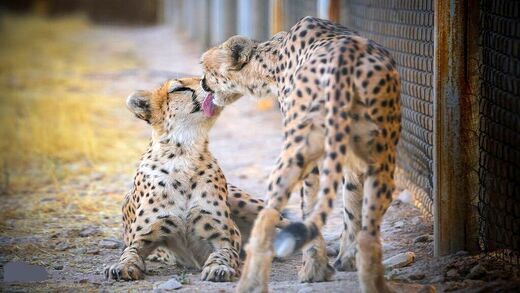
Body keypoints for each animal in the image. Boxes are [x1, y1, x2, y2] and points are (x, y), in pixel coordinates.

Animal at [104, 77, 286, 280]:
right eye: (178, 88)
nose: (208, 84)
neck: (184, 154)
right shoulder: (143, 237)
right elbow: (129, 252)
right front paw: (121, 266)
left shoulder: (225, 236)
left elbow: (223, 253)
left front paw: (218, 268)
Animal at [200, 16, 402, 292]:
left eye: (206, 68)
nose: (201, 84)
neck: (271, 60)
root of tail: (347, 54)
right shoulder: (354, 159)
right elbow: (352, 205)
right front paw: (346, 260)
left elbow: (309, 208)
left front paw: (316, 268)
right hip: (383, 156)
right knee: (369, 234)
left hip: (294, 154)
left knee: (267, 219)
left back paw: (256, 282)